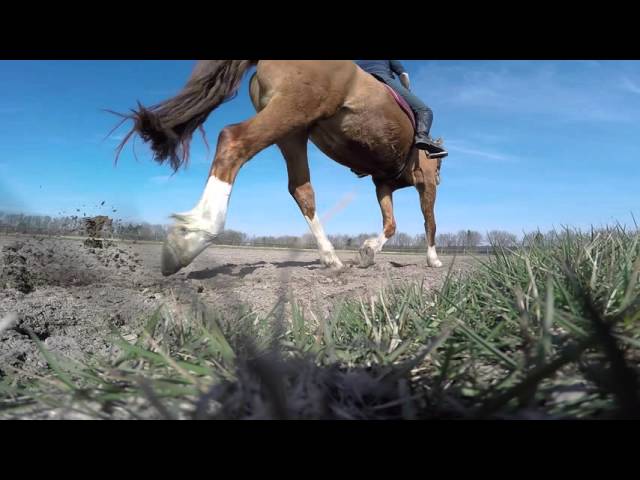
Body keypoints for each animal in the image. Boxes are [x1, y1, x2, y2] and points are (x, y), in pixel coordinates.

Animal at [114, 60, 444, 276]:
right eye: (438, 166)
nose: (441, 176)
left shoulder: (382, 183)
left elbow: (392, 223)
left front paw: (368, 252)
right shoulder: (423, 184)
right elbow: (429, 223)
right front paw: (434, 261)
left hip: (293, 131)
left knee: (301, 190)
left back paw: (330, 258)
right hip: (293, 109)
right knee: (233, 140)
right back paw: (193, 236)